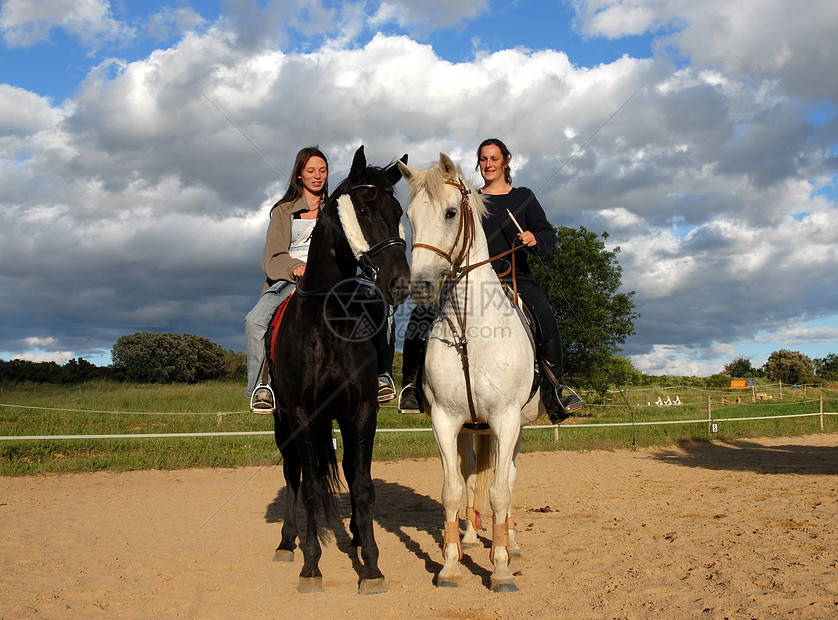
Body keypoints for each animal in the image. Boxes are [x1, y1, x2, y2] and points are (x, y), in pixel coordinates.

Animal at [270, 147, 412, 596]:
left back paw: (353, 535)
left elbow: (362, 484)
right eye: (364, 209)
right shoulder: (303, 414)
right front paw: (311, 566)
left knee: (345, 472)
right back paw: (288, 543)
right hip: (284, 423)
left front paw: (371, 565)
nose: (400, 284)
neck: (328, 320)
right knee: (295, 475)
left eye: (398, 211)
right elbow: (312, 487)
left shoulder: (361, 411)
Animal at [400, 154, 544, 592]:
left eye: (451, 212)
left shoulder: (506, 418)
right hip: (470, 428)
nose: (421, 288)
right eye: (409, 216)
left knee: (508, 478)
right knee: (468, 476)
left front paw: (500, 568)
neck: (470, 330)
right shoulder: (446, 420)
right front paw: (449, 564)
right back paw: (468, 537)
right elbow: (452, 489)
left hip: (513, 429)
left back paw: (509, 543)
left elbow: (500, 492)